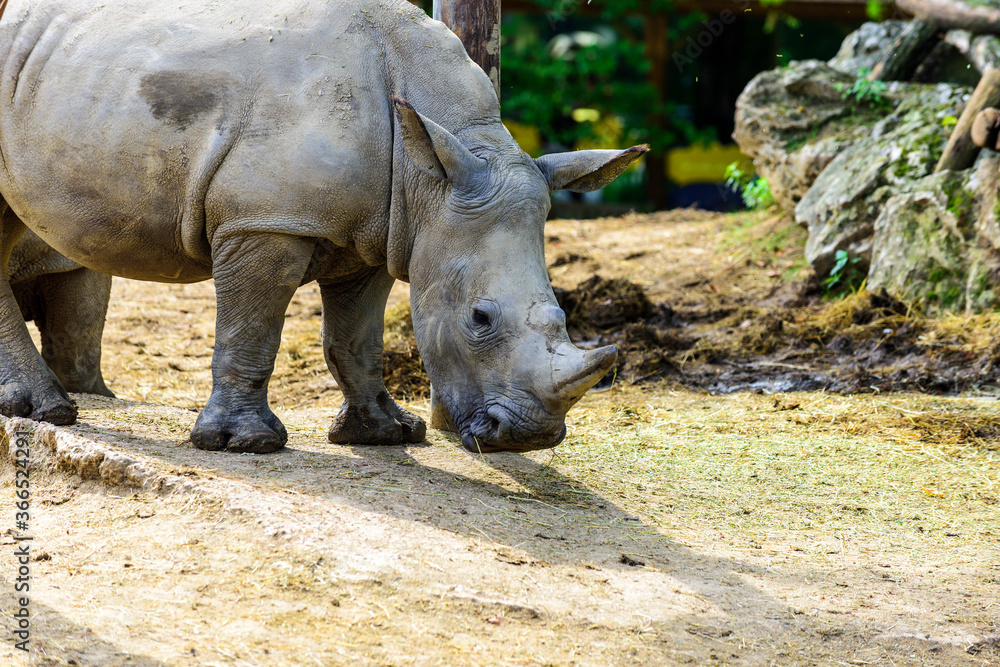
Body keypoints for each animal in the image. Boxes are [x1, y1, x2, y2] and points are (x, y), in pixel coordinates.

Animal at [0, 0, 645, 453]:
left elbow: (356, 338)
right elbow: (253, 328)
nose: (528, 437)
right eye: (480, 318)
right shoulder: (266, 221)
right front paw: (244, 444)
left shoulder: (384, 230)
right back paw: (45, 412)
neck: (429, 176)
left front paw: (387, 433)